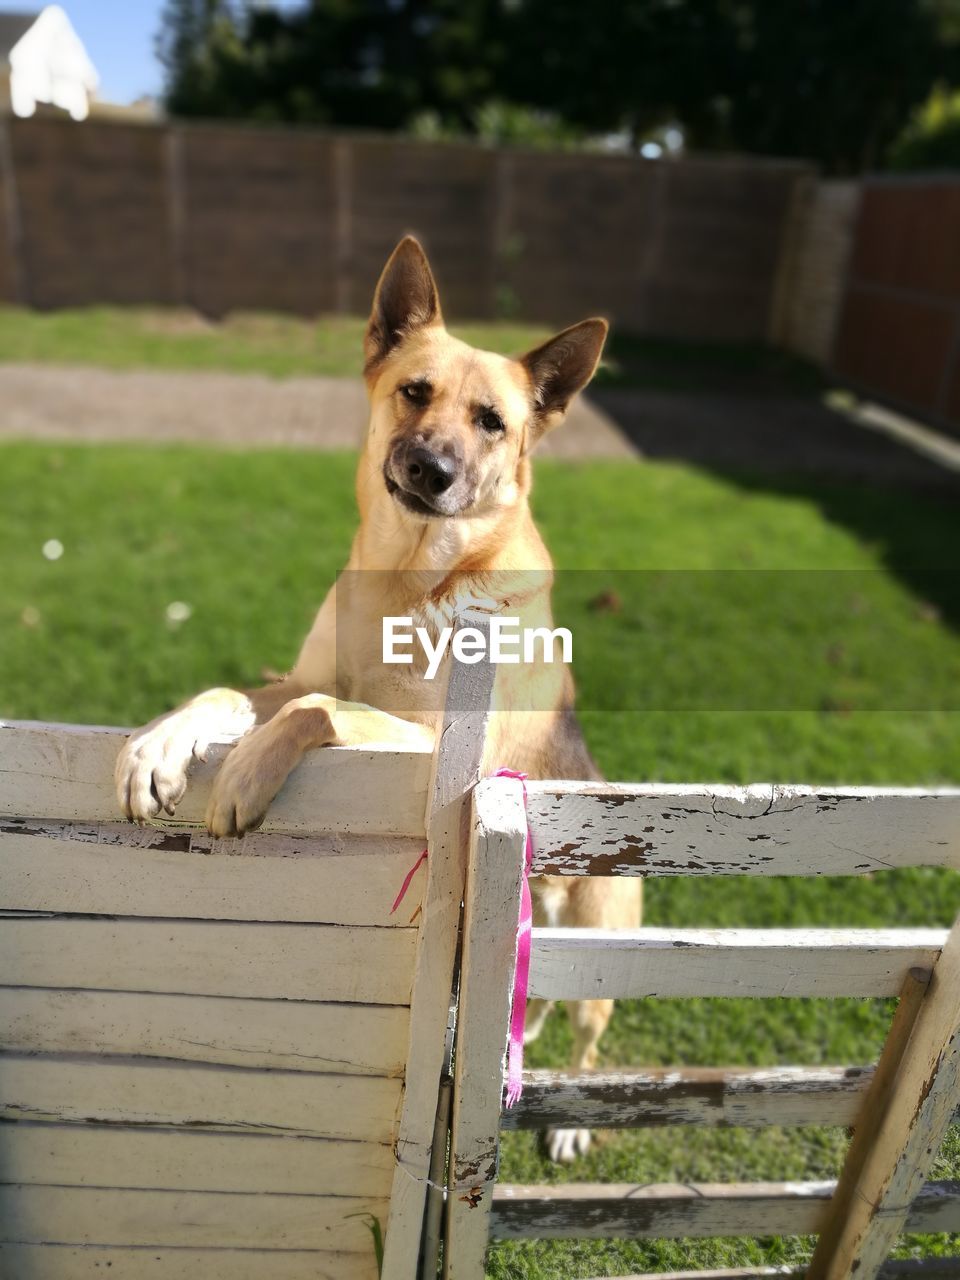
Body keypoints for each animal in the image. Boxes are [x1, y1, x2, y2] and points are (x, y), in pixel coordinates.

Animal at [116, 235, 642, 1167]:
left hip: (598, 967)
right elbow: (244, 692)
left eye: (492, 422)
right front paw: (159, 745)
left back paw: (575, 1117)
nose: (429, 470)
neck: (408, 577)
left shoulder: (443, 748)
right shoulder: (300, 677)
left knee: (586, 1037)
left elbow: (319, 712)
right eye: (414, 391)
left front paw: (245, 771)